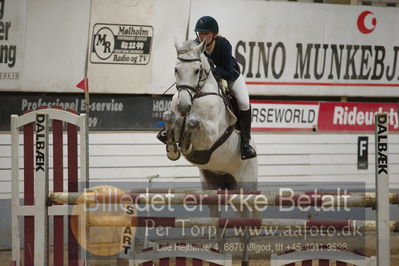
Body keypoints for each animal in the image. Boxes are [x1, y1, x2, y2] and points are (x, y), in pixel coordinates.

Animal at [162, 38, 260, 264]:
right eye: (176, 69)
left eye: (197, 70)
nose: (183, 105)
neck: (196, 95)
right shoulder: (175, 116)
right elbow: (170, 117)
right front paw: (173, 148)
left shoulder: (211, 134)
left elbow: (193, 121)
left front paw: (185, 142)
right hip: (213, 187)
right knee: (219, 228)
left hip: (244, 187)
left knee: (245, 231)